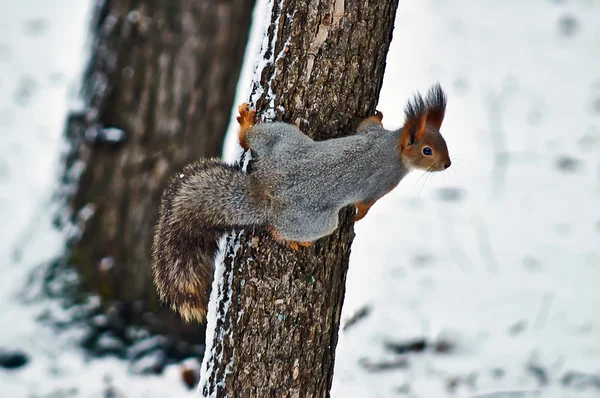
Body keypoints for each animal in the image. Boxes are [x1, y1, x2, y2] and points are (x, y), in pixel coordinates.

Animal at [150, 82, 450, 322]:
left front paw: (376, 114)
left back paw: (246, 123)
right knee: (280, 228)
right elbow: (367, 203)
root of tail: (265, 188)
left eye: (444, 142)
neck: (391, 148)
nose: (447, 164)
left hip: (283, 139)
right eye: (427, 151)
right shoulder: (383, 182)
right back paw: (292, 239)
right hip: (317, 220)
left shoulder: (370, 135)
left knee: (250, 139)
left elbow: (365, 125)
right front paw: (359, 215)